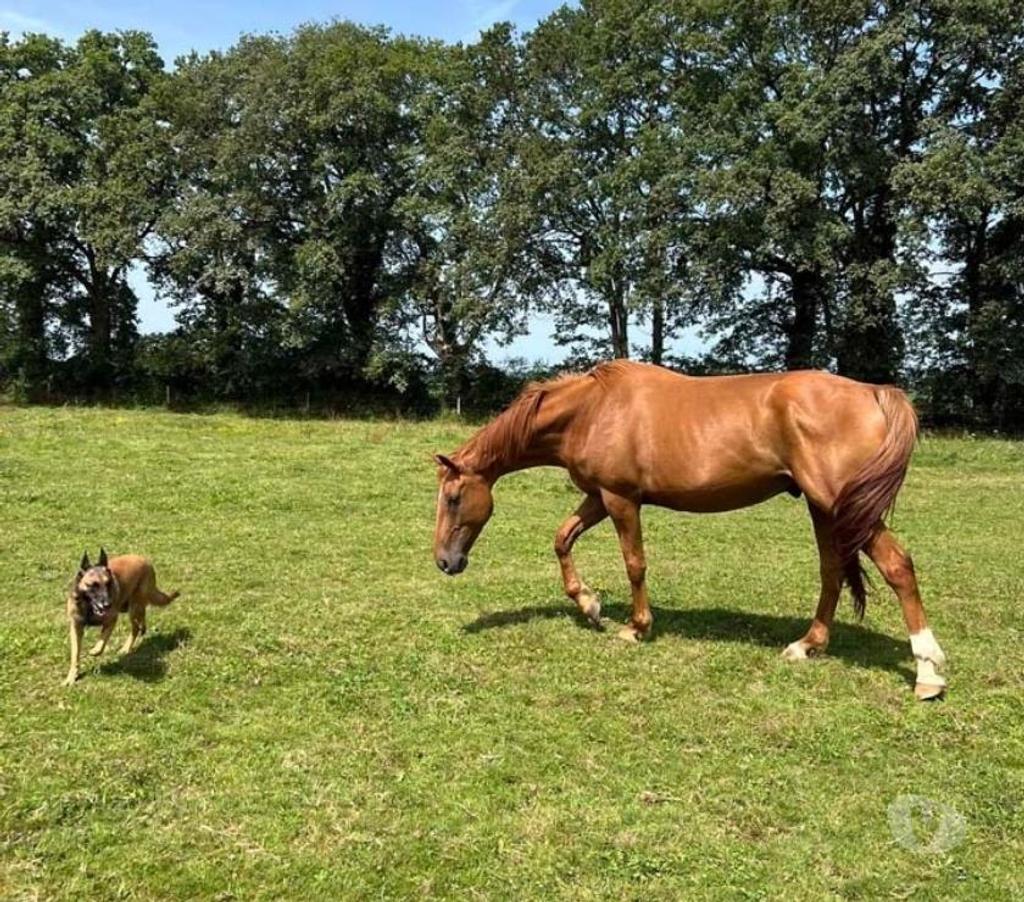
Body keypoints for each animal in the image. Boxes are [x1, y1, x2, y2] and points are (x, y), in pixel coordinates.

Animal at [433, 360, 946, 700]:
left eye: (454, 498)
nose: (445, 561)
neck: (591, 410)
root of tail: (873, 391)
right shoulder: (598, 496)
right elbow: (563, 539)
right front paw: (589, 605)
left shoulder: (620, 499)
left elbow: (635, 563)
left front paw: (636, 627)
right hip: (824, 509)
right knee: (832, 571)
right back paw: (808, 645)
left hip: (844, 506)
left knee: (898, 567)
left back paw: (927, 672)